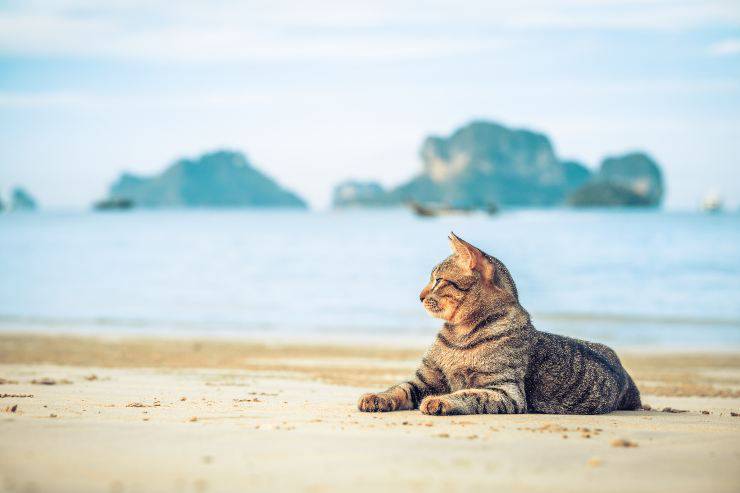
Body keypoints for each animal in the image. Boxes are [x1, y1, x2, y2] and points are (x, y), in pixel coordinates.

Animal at [358, 233, 640, 414]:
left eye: (438, 280)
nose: (419, 296)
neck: (459, 335)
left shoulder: (504, 390)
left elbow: (469, 393)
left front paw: (442, 401)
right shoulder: (424, 379)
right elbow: (399, 388)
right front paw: (376, 397)